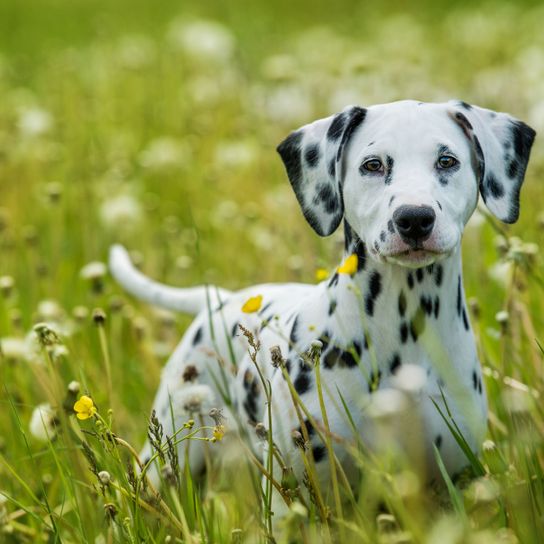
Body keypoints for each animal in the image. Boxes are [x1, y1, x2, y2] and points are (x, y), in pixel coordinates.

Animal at [109, 101, 536, 516]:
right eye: (373, 165)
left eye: (447, 161)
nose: (414, 218)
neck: (403, 337)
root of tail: (221, 299)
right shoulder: (294, 497)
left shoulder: (450, 485)